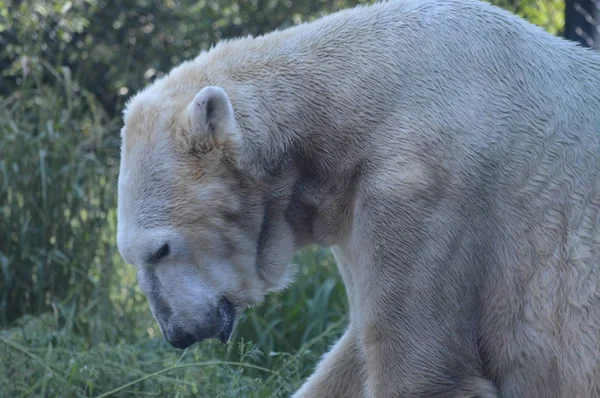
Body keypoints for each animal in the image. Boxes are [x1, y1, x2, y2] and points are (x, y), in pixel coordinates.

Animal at [116, 0, 600, 396]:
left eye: (160, 249)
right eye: (128, 256)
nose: (177, 334)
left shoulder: (427, 185)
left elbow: (422, 364)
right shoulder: (352, 209)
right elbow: (353, 352)